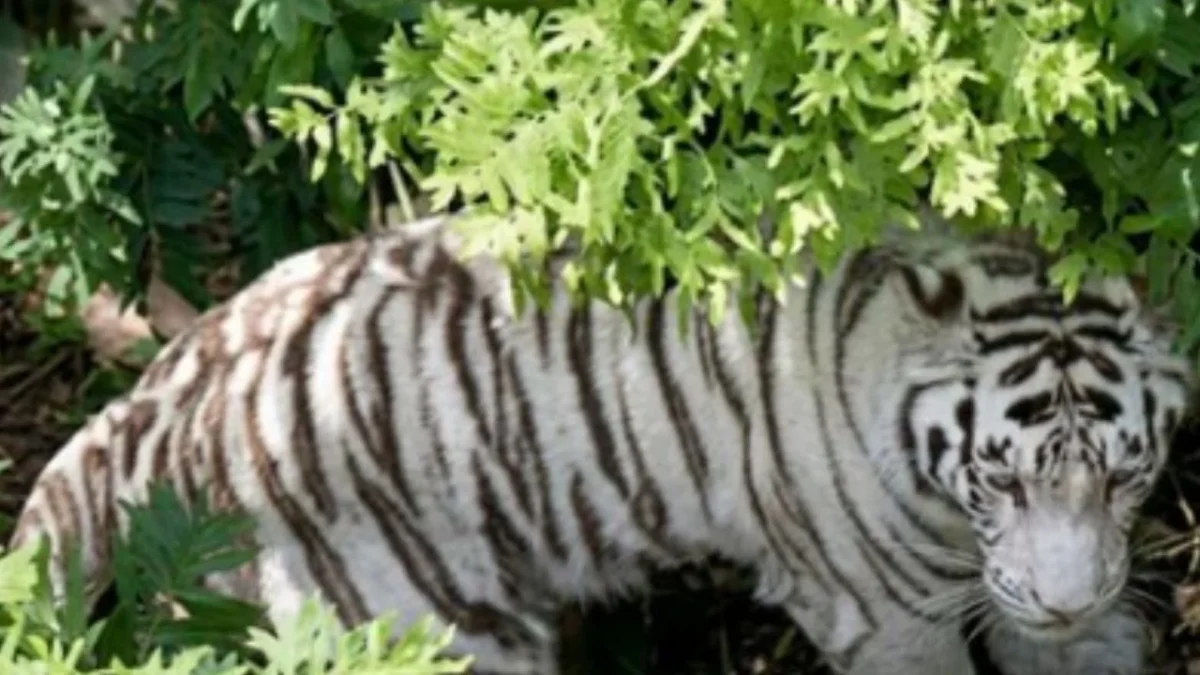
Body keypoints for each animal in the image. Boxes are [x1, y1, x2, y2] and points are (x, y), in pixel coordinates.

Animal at [7, 210, 1192, 675]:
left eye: (1124, 476)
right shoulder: (880, 615)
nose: (1069, 597)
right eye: (1000, 477)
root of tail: (157, 393)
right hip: (428, 634)